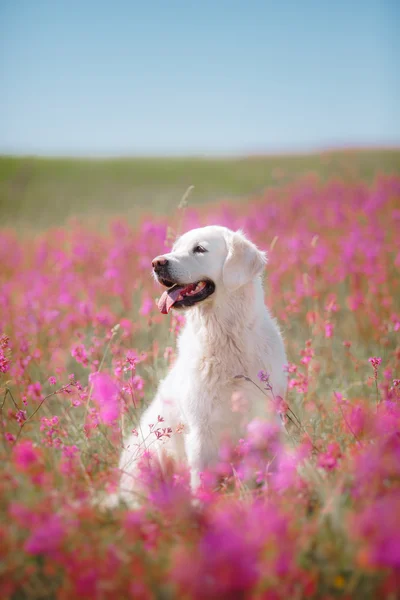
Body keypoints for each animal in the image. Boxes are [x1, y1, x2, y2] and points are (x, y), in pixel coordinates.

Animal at [114, 227, 286, 504]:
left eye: (199, 249)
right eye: (175, 248)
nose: (157, 263)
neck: (226, 338)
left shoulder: (267, 418)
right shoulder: (201, 430)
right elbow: (202, 480)